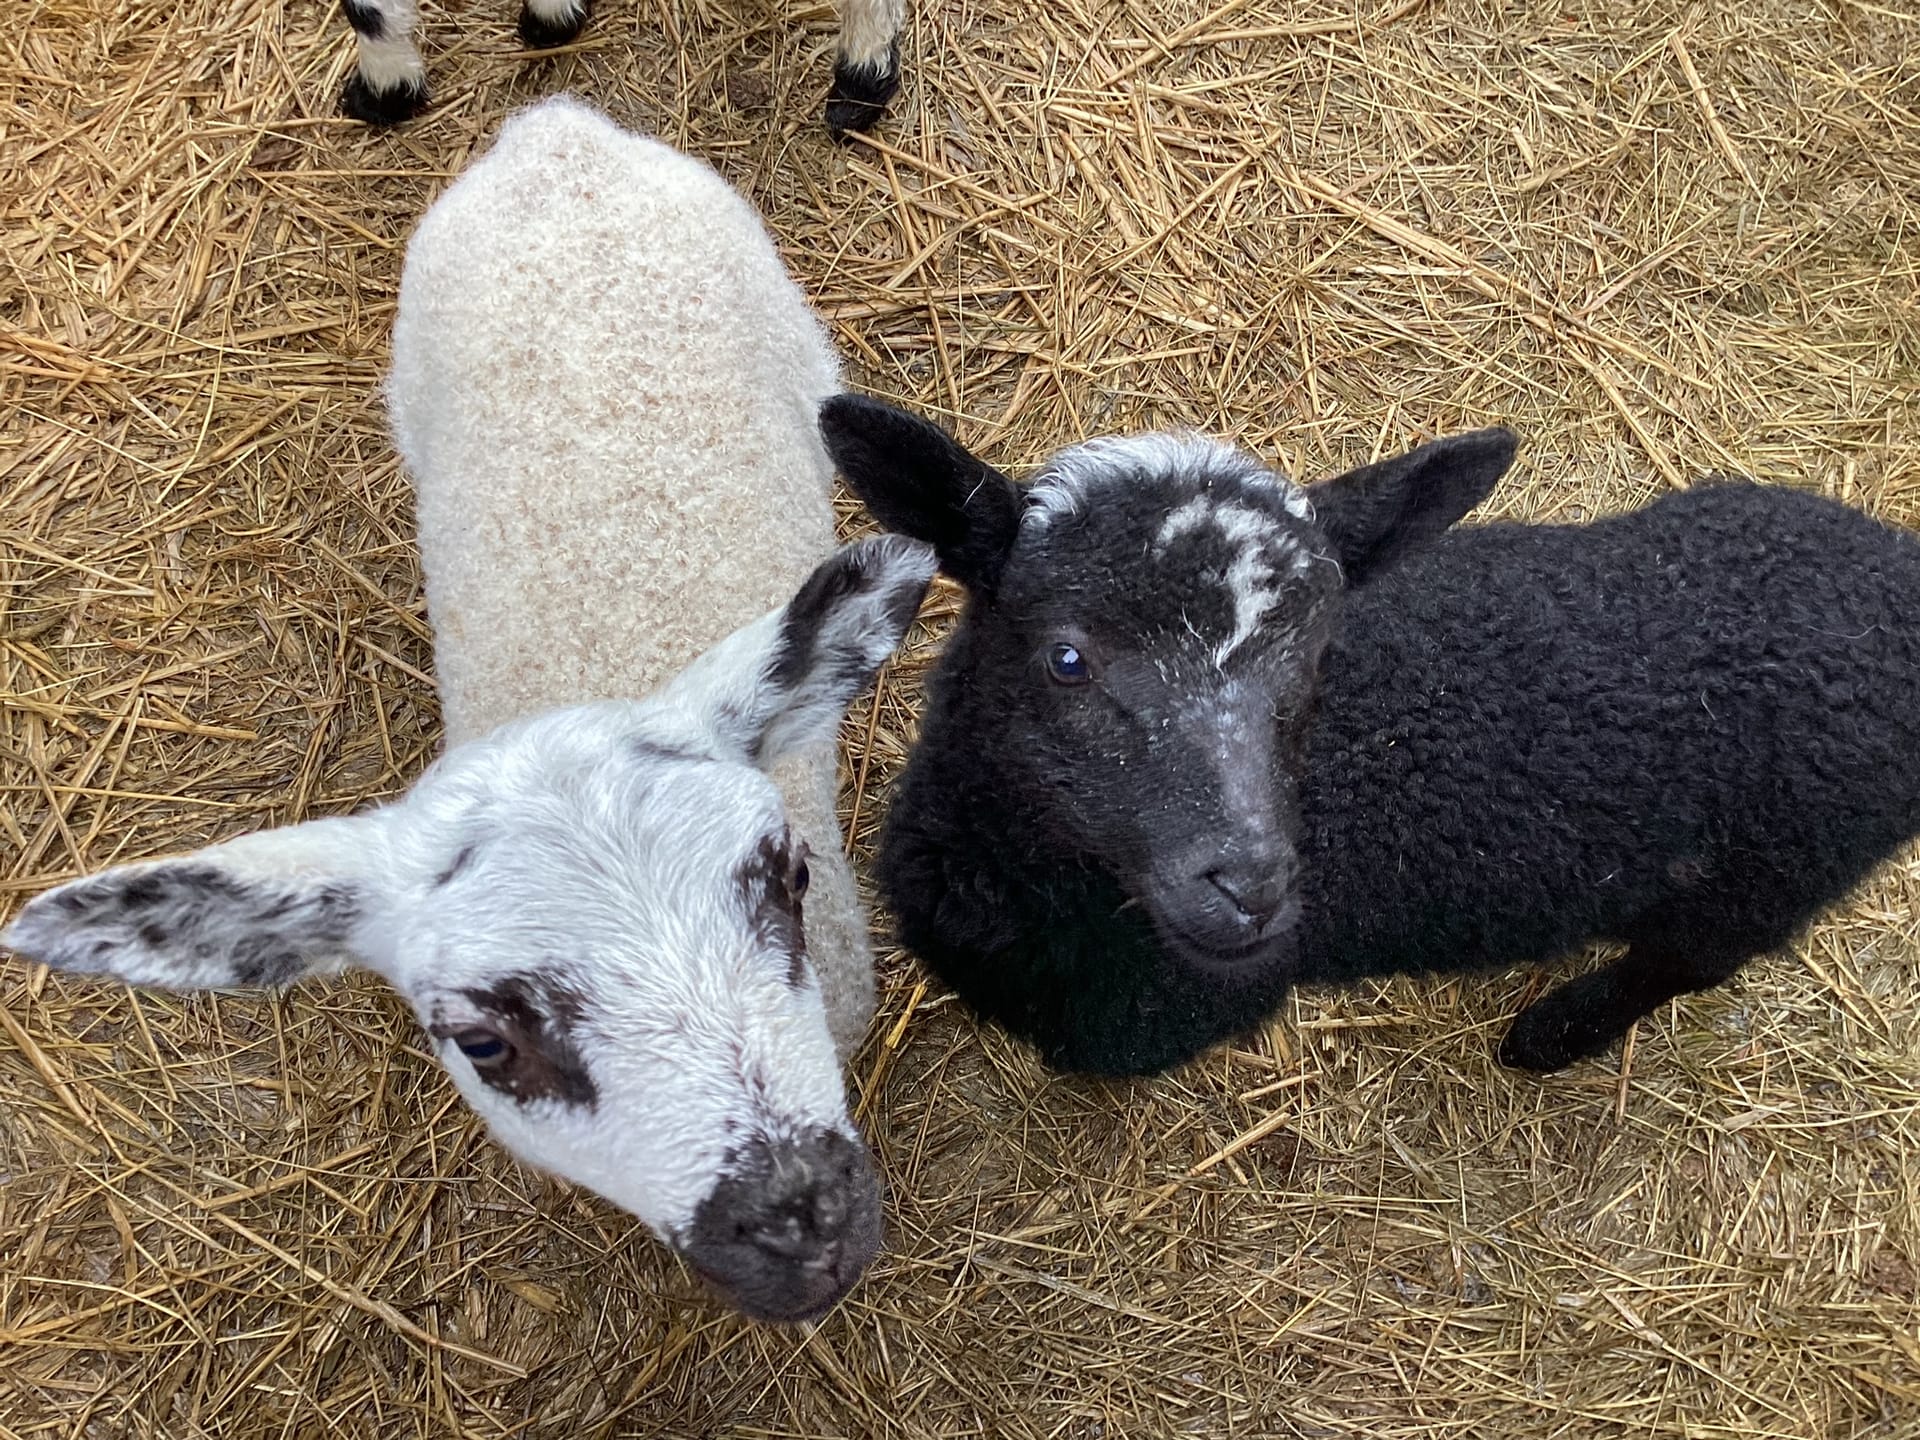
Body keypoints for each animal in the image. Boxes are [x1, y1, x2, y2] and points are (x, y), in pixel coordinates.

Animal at [816, 394, 1920, 1078]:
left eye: (1313, 664)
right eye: (1067, 658)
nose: (1254, 891)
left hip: (1771, 875)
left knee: (1682, 963)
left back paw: (1553, 1035)